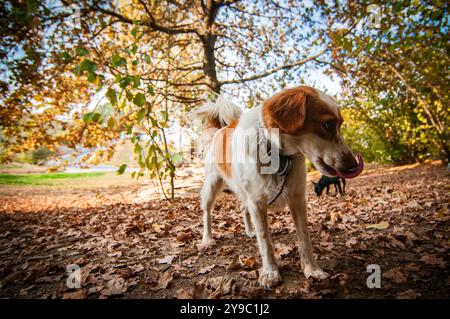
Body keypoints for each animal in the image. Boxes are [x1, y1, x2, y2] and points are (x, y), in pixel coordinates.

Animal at [195, 86, 364, 288]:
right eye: (328, 124)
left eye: (339, 125)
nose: (354, 165)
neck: (278, 155)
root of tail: (221, 130)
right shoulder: (257, 203)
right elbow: (265, 241)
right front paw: (271, 273)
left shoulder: (297, 199)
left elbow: (304, 238)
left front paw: (312, 269)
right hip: (213, 185)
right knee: (207, 212)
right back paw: (207, 238)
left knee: (243, 209)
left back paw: (249, 231)